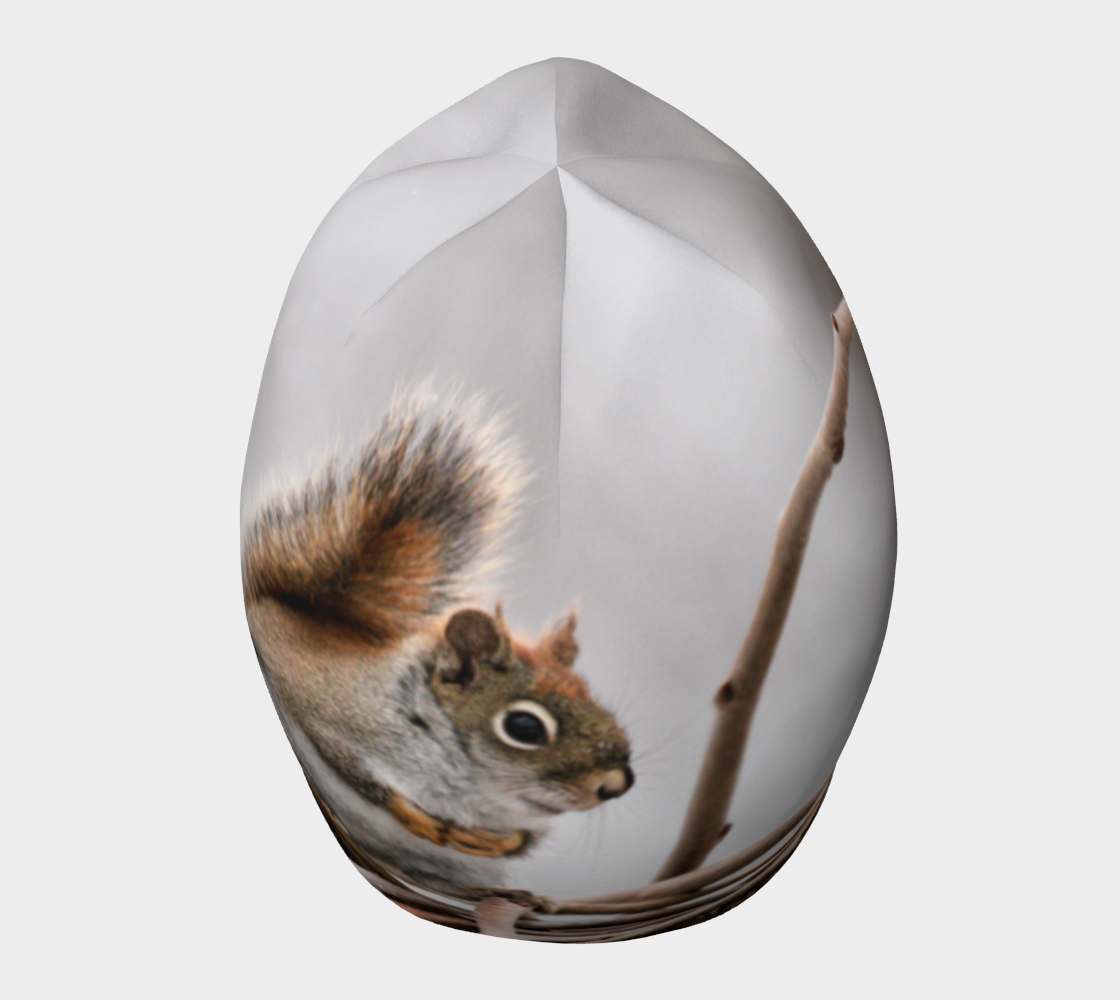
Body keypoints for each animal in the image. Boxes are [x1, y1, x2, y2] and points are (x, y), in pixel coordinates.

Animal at [242, 389, 634, 897]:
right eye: (525, 728)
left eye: (592, 697)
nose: (617, 783)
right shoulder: (331, 711)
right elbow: (352, 767)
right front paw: (419, 819)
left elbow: (522, 840)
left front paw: (497, 842)